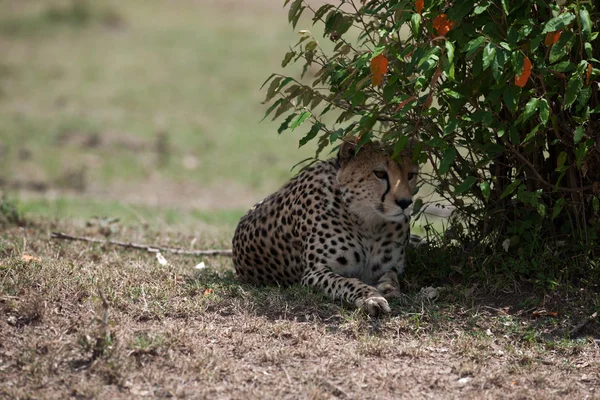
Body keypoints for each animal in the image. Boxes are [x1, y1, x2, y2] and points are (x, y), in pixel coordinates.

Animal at [232, 141, 420, 316]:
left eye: (411, 175)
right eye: (380, 173)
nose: (405, 202)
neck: (368, 222)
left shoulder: (387, 268)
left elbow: (392, 277)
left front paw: (389, 289)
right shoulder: (314, 273)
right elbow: (346, 282)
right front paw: (371, 298)